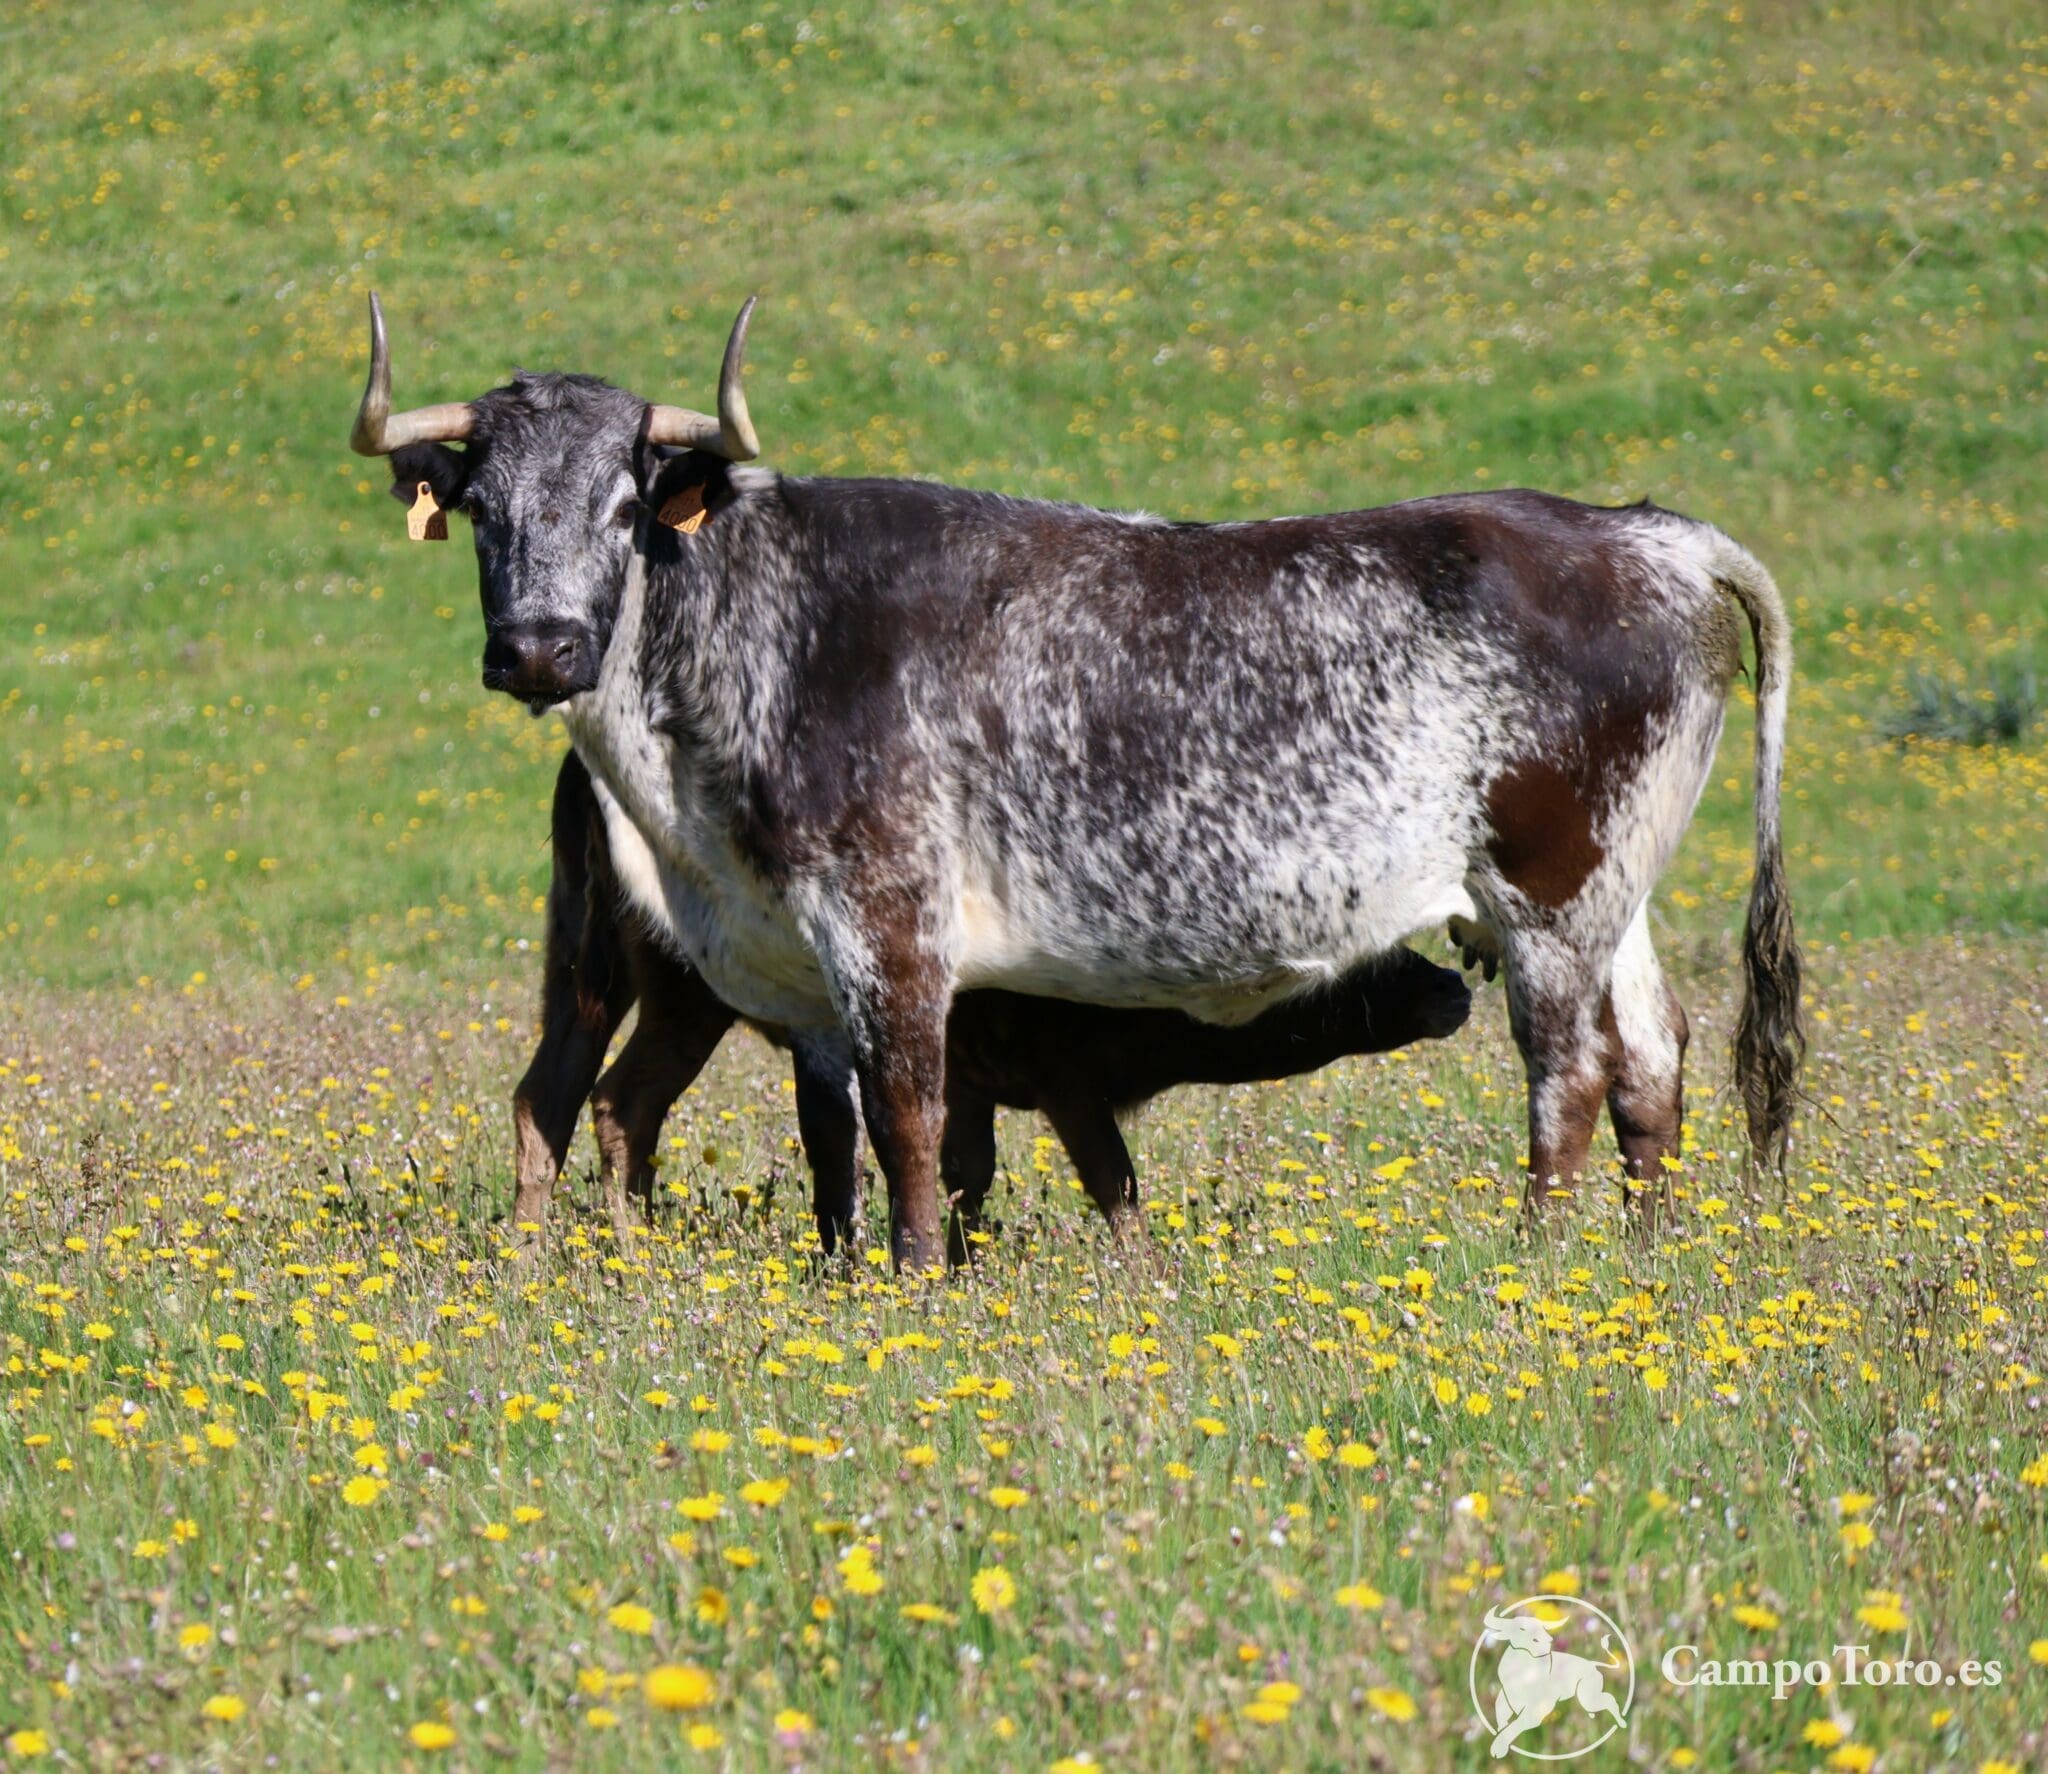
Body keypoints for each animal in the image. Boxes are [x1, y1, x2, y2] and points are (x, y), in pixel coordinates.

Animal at [512, 753, 1474, 1253]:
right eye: (1363, 960)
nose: (1455, 988)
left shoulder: (978, 1080)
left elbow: (964, 1173)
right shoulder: (1065, 1080)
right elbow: (1113, 1182)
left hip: (589, 965)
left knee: (551, 1097)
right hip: (680, 991)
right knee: (621, 1100)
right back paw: (628, 1244)